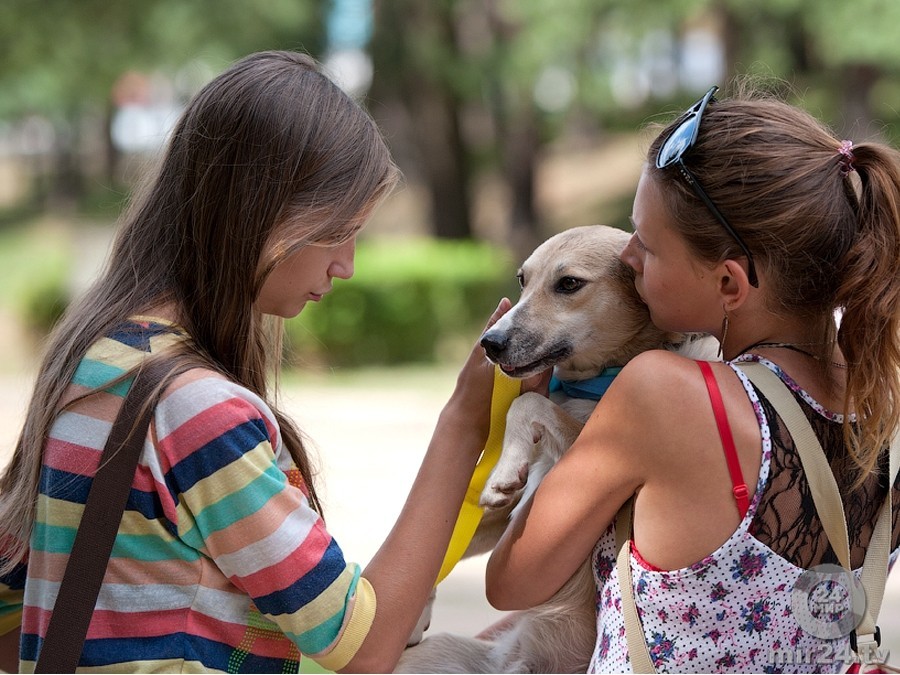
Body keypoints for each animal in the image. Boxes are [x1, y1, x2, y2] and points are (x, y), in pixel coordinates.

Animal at [398, 226, 712, 672]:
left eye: (569, 284)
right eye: (521, 280)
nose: (489, 343)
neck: (593, 382)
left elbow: (527, 402)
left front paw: (504, 470)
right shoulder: (512, 512)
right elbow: (444, 542)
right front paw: (415, 613)